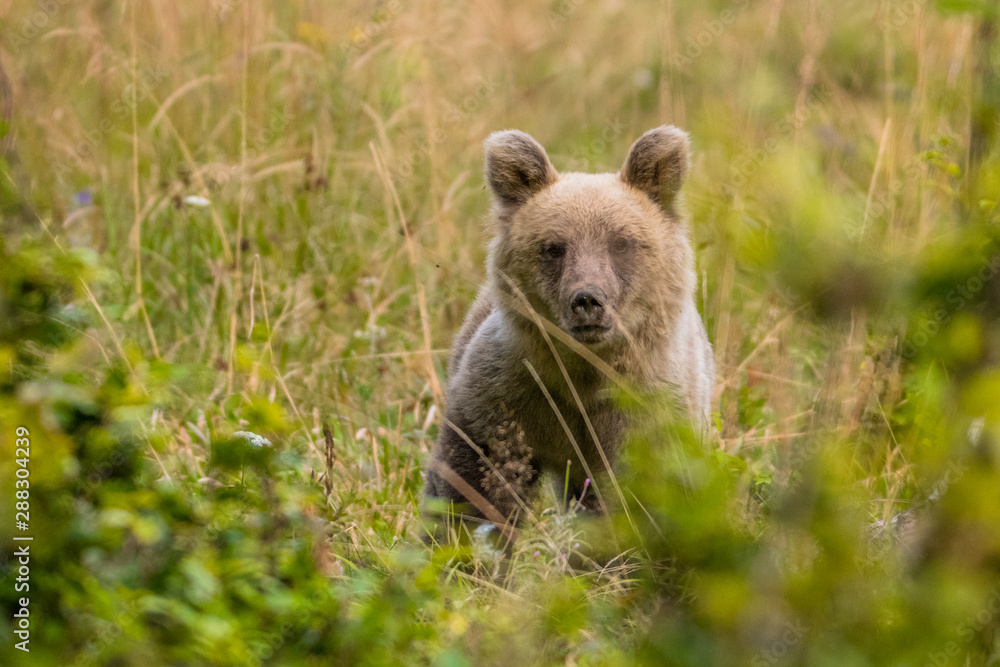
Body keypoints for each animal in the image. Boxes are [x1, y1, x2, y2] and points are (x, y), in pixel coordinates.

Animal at [423, 125, 714, 527]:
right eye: (554, 247)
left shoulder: (647, 409)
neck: (583, 372)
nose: (588, 300)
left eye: (621, 243)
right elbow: (476, 479)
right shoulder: (507, 393)